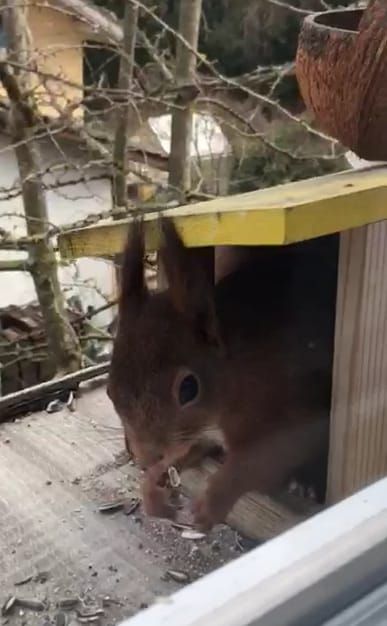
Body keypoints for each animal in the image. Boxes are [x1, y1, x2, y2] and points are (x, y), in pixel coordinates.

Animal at [107, 217, 338, 528]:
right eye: (109, 391)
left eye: (189, 389)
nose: (145, 456)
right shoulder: (197, 436)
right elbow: (186, 453)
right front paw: (152, 487)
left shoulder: (289, 410)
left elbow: (260, 461)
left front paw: (211, 502)